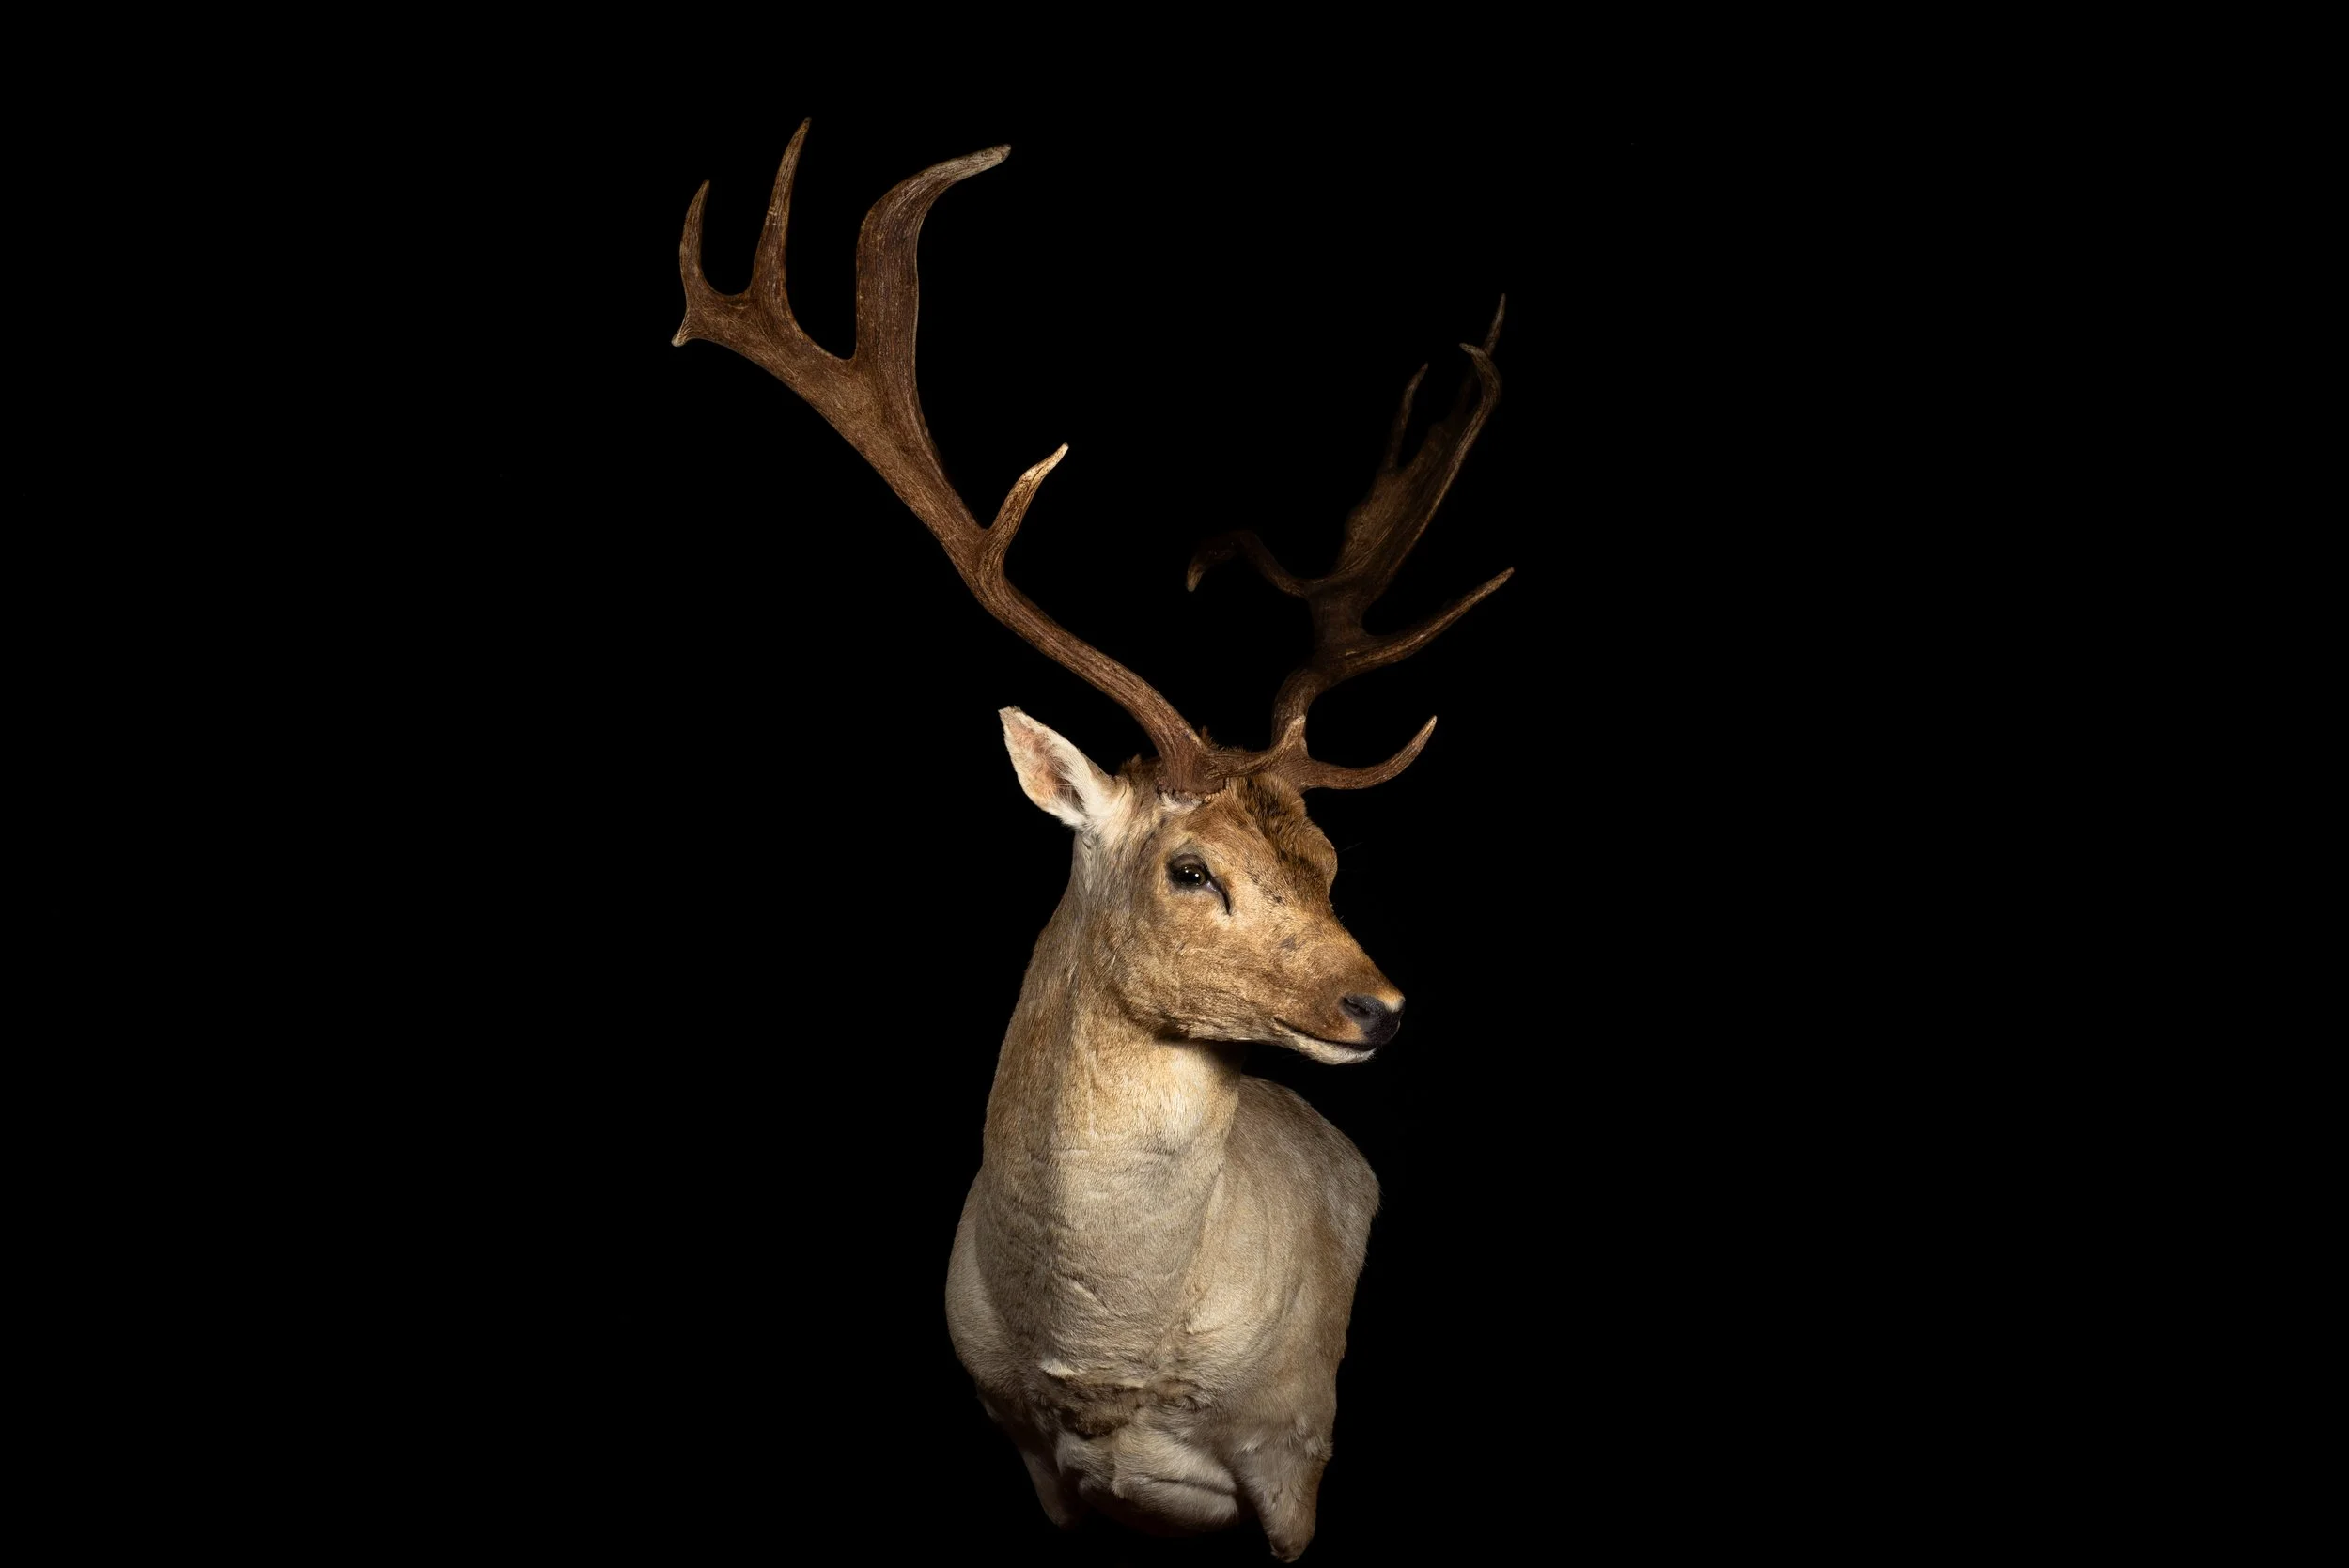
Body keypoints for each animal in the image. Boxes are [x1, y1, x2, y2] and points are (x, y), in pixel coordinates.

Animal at [673, 121, 1510, 1562]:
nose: (1380, 1006)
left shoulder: (1298, 1450)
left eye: (1329, 862)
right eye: (1191, 867)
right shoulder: (1027, 1454)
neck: (1103, 1365)